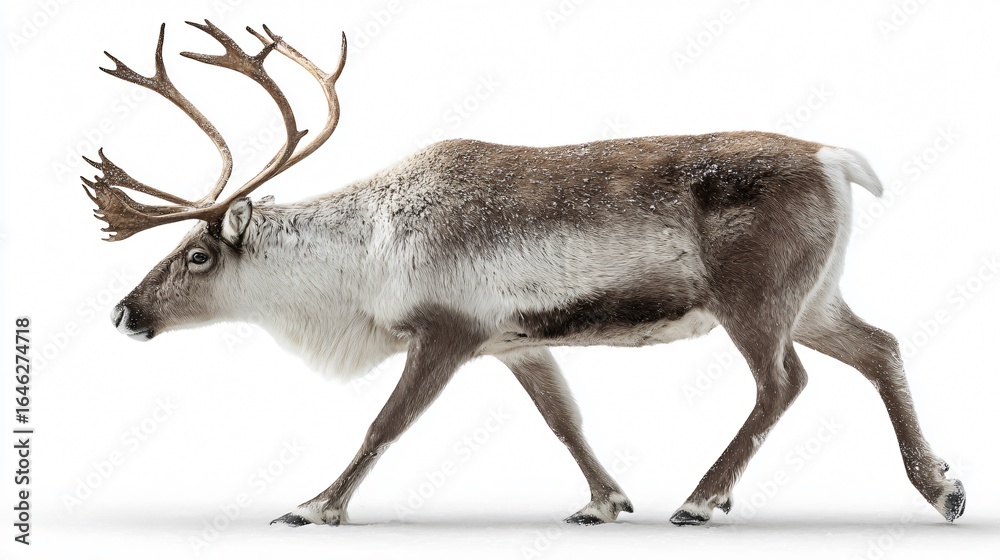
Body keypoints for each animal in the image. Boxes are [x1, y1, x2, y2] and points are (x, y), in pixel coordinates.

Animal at [82, 21, 965, 527]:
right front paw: (604, 502)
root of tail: (833, 158)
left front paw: (314, 505)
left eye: (197, 255)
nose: (123, 312)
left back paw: (702, 498)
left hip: (754, 299)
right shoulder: (516, 342)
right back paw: (943, 488)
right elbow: (565, 421)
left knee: (783, 382)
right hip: (815, 296)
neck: (360, 258)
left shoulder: (446, 329)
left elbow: (384, 424)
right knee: (882, 346)